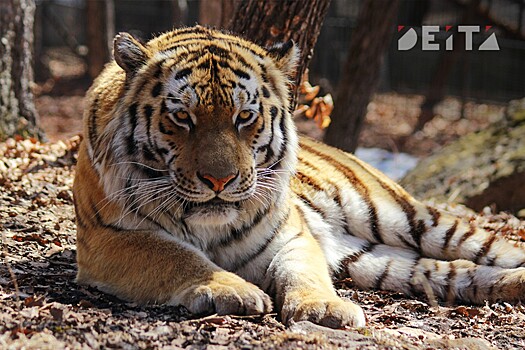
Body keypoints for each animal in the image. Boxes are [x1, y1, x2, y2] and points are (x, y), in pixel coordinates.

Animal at [73, 26, 524, 330]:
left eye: (244, 117)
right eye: (182, 117)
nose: (219, 181)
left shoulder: (291, 235)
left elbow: (303, 271)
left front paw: (324, 308)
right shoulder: (109, 237)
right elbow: (178, 257)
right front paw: (233, 289)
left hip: (414, 219)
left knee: (491, 248)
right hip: (375, 261)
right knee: (455, 272)